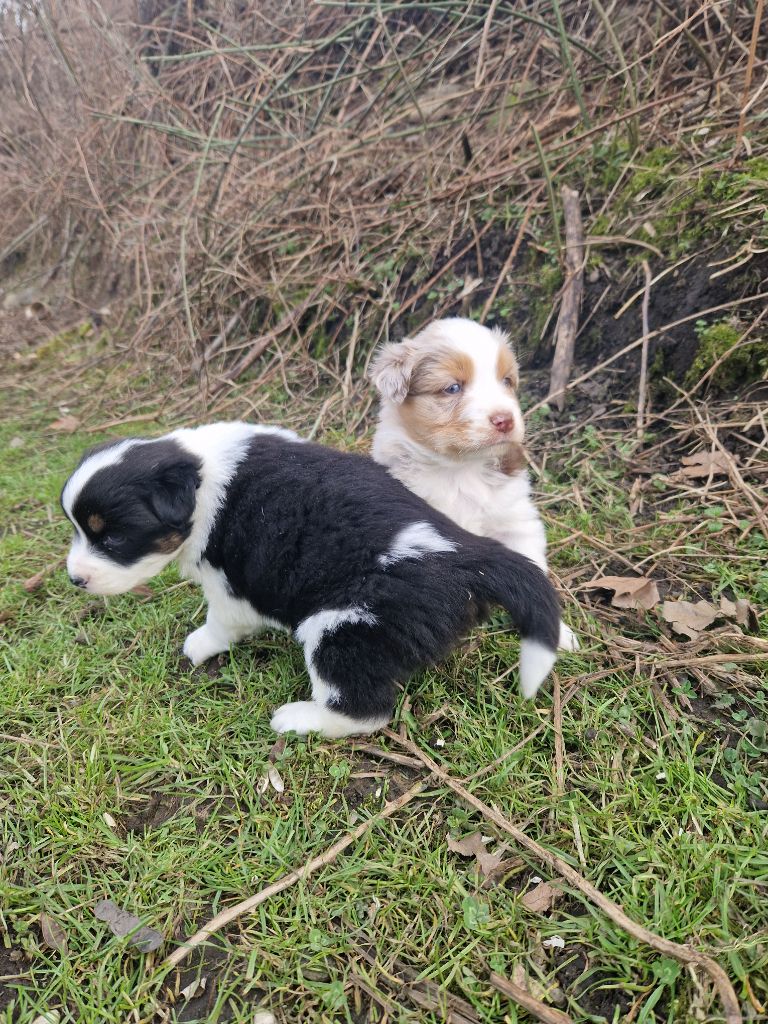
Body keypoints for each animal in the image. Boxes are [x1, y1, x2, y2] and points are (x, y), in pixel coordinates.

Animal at [61, 422, 562, 738]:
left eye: (114, 537)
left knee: (365, 711)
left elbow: (220, 624)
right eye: (78, 529)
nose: (74, 580)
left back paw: (299, 719)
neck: (199, 480)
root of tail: (465, 555)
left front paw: (198, 645)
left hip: (342, 629)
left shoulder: (230, 587)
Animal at [369, 317, 577, 651]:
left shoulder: (516, 521)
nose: (505, 419)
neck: (460, 470)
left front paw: (559, 634)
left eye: (506, 381)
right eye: (452, 388)